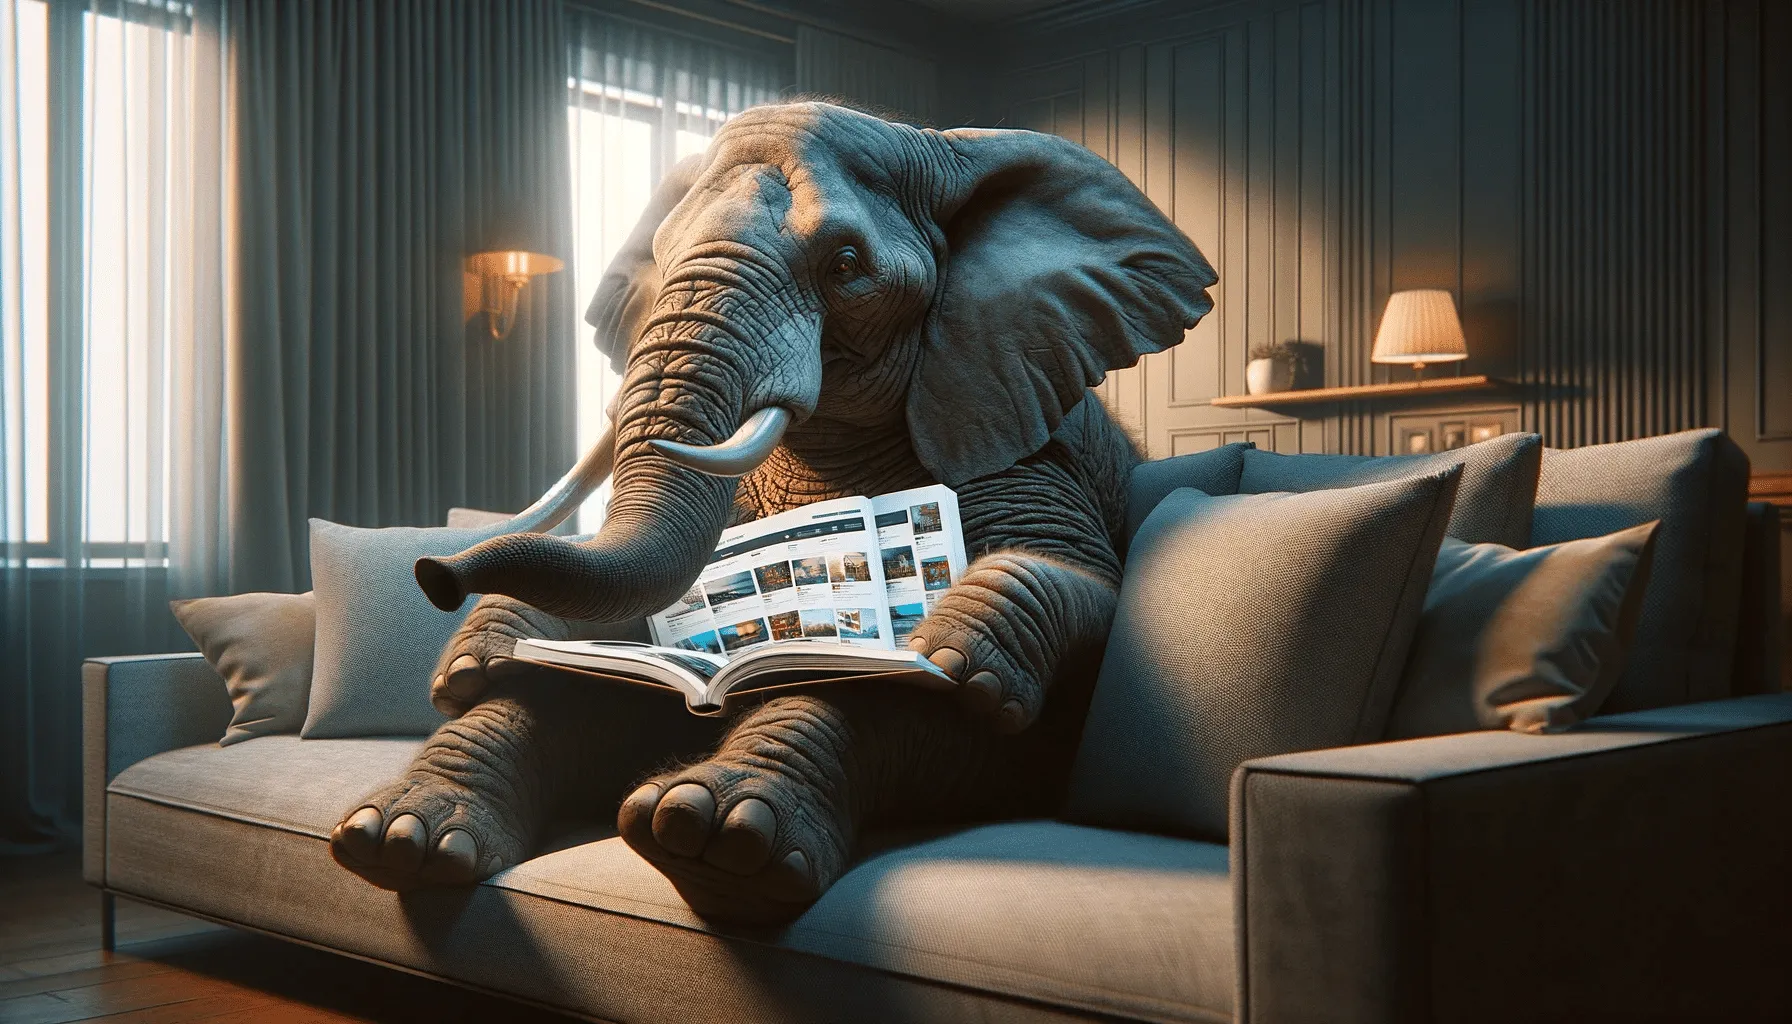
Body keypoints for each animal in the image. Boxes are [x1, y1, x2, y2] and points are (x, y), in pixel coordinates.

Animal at [328, 100, 1216, 924]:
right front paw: (477, 660)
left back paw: (708, 837)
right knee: (564, 696)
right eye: (659, 257)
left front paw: (944, 652)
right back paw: (396, 840)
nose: (433, 574)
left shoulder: (1022, 431)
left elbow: (1084, 589)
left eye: (846, 264)